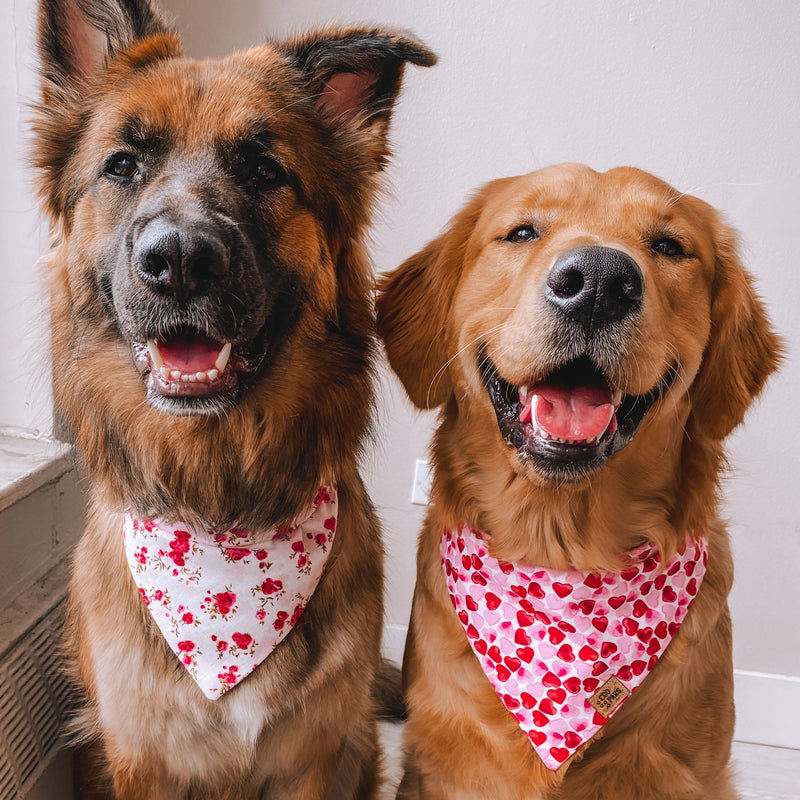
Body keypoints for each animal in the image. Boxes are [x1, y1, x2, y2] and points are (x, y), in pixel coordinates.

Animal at [31, 3, 434, 796]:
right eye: (122, 165)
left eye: (263, 169)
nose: (180, 260)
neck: (219, 512)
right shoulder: (141, 759)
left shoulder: (314, 757)